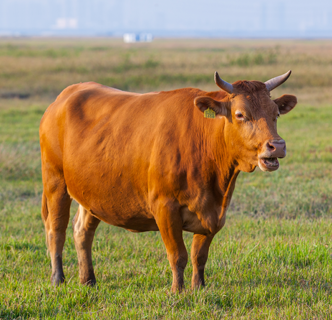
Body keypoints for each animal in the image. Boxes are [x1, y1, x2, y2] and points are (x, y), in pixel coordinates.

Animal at [40, 71, 296, 292]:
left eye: (276, 114)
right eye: (240, 114)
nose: (277, 146)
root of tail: (66, 95)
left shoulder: (213, 213)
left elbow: (199, 255)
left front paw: (198, 287)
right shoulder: (165, 208)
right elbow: (178, 255)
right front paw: (177, 291)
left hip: (92, 194)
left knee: (82, 231)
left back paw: (88, 280)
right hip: (55, 182)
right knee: (56, 229)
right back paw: (57, 279)